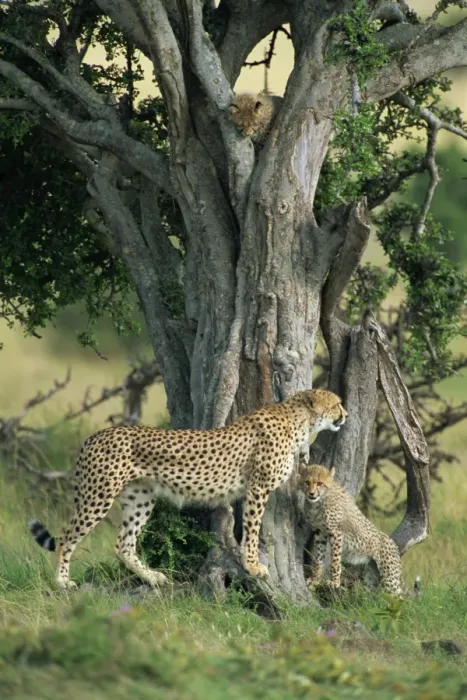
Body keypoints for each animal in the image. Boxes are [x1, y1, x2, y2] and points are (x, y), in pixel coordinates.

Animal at [29, 389, 347, 591]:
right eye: (336, 403)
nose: (345, 415)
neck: (299, 423)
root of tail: (94, 436)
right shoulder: (257, 488)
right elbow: (253, 529)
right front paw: (253, 566)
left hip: (140, 498)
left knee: (123, 544)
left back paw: (152, 578)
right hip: (99, 495)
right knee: (67, 537)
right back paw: (62, 581)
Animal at [301, 464, 406, 597]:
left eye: (320, 483)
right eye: (307, 482)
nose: (312, 493)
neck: (319, 501)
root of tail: (393, 544)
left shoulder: (336, 532)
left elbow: (335, 560)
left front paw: (334, 582)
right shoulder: (320, 533)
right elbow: (318, 558)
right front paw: (315, 579)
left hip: (390, 579)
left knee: (398, 597)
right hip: (370, 576)